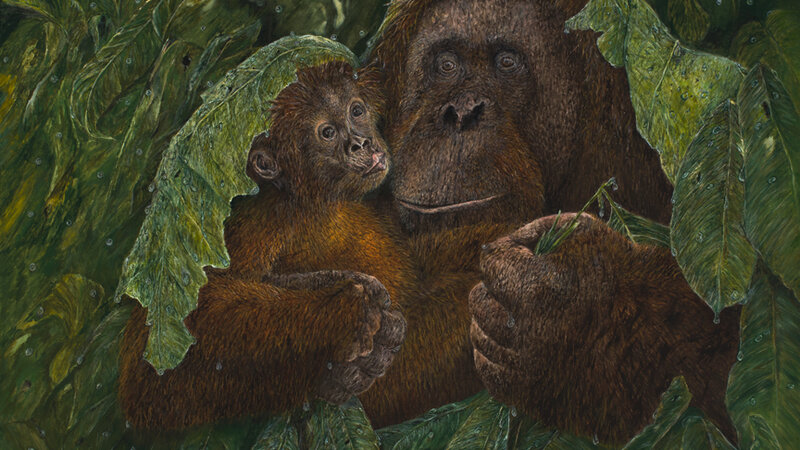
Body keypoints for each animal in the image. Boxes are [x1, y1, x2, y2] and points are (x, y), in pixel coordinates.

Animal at [118, 60, 409, 430]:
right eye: (328, 133)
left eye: (356, 111)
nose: (360, 142)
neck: (312, 204)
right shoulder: (257, 227)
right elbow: (151, 376)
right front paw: (343, 310)